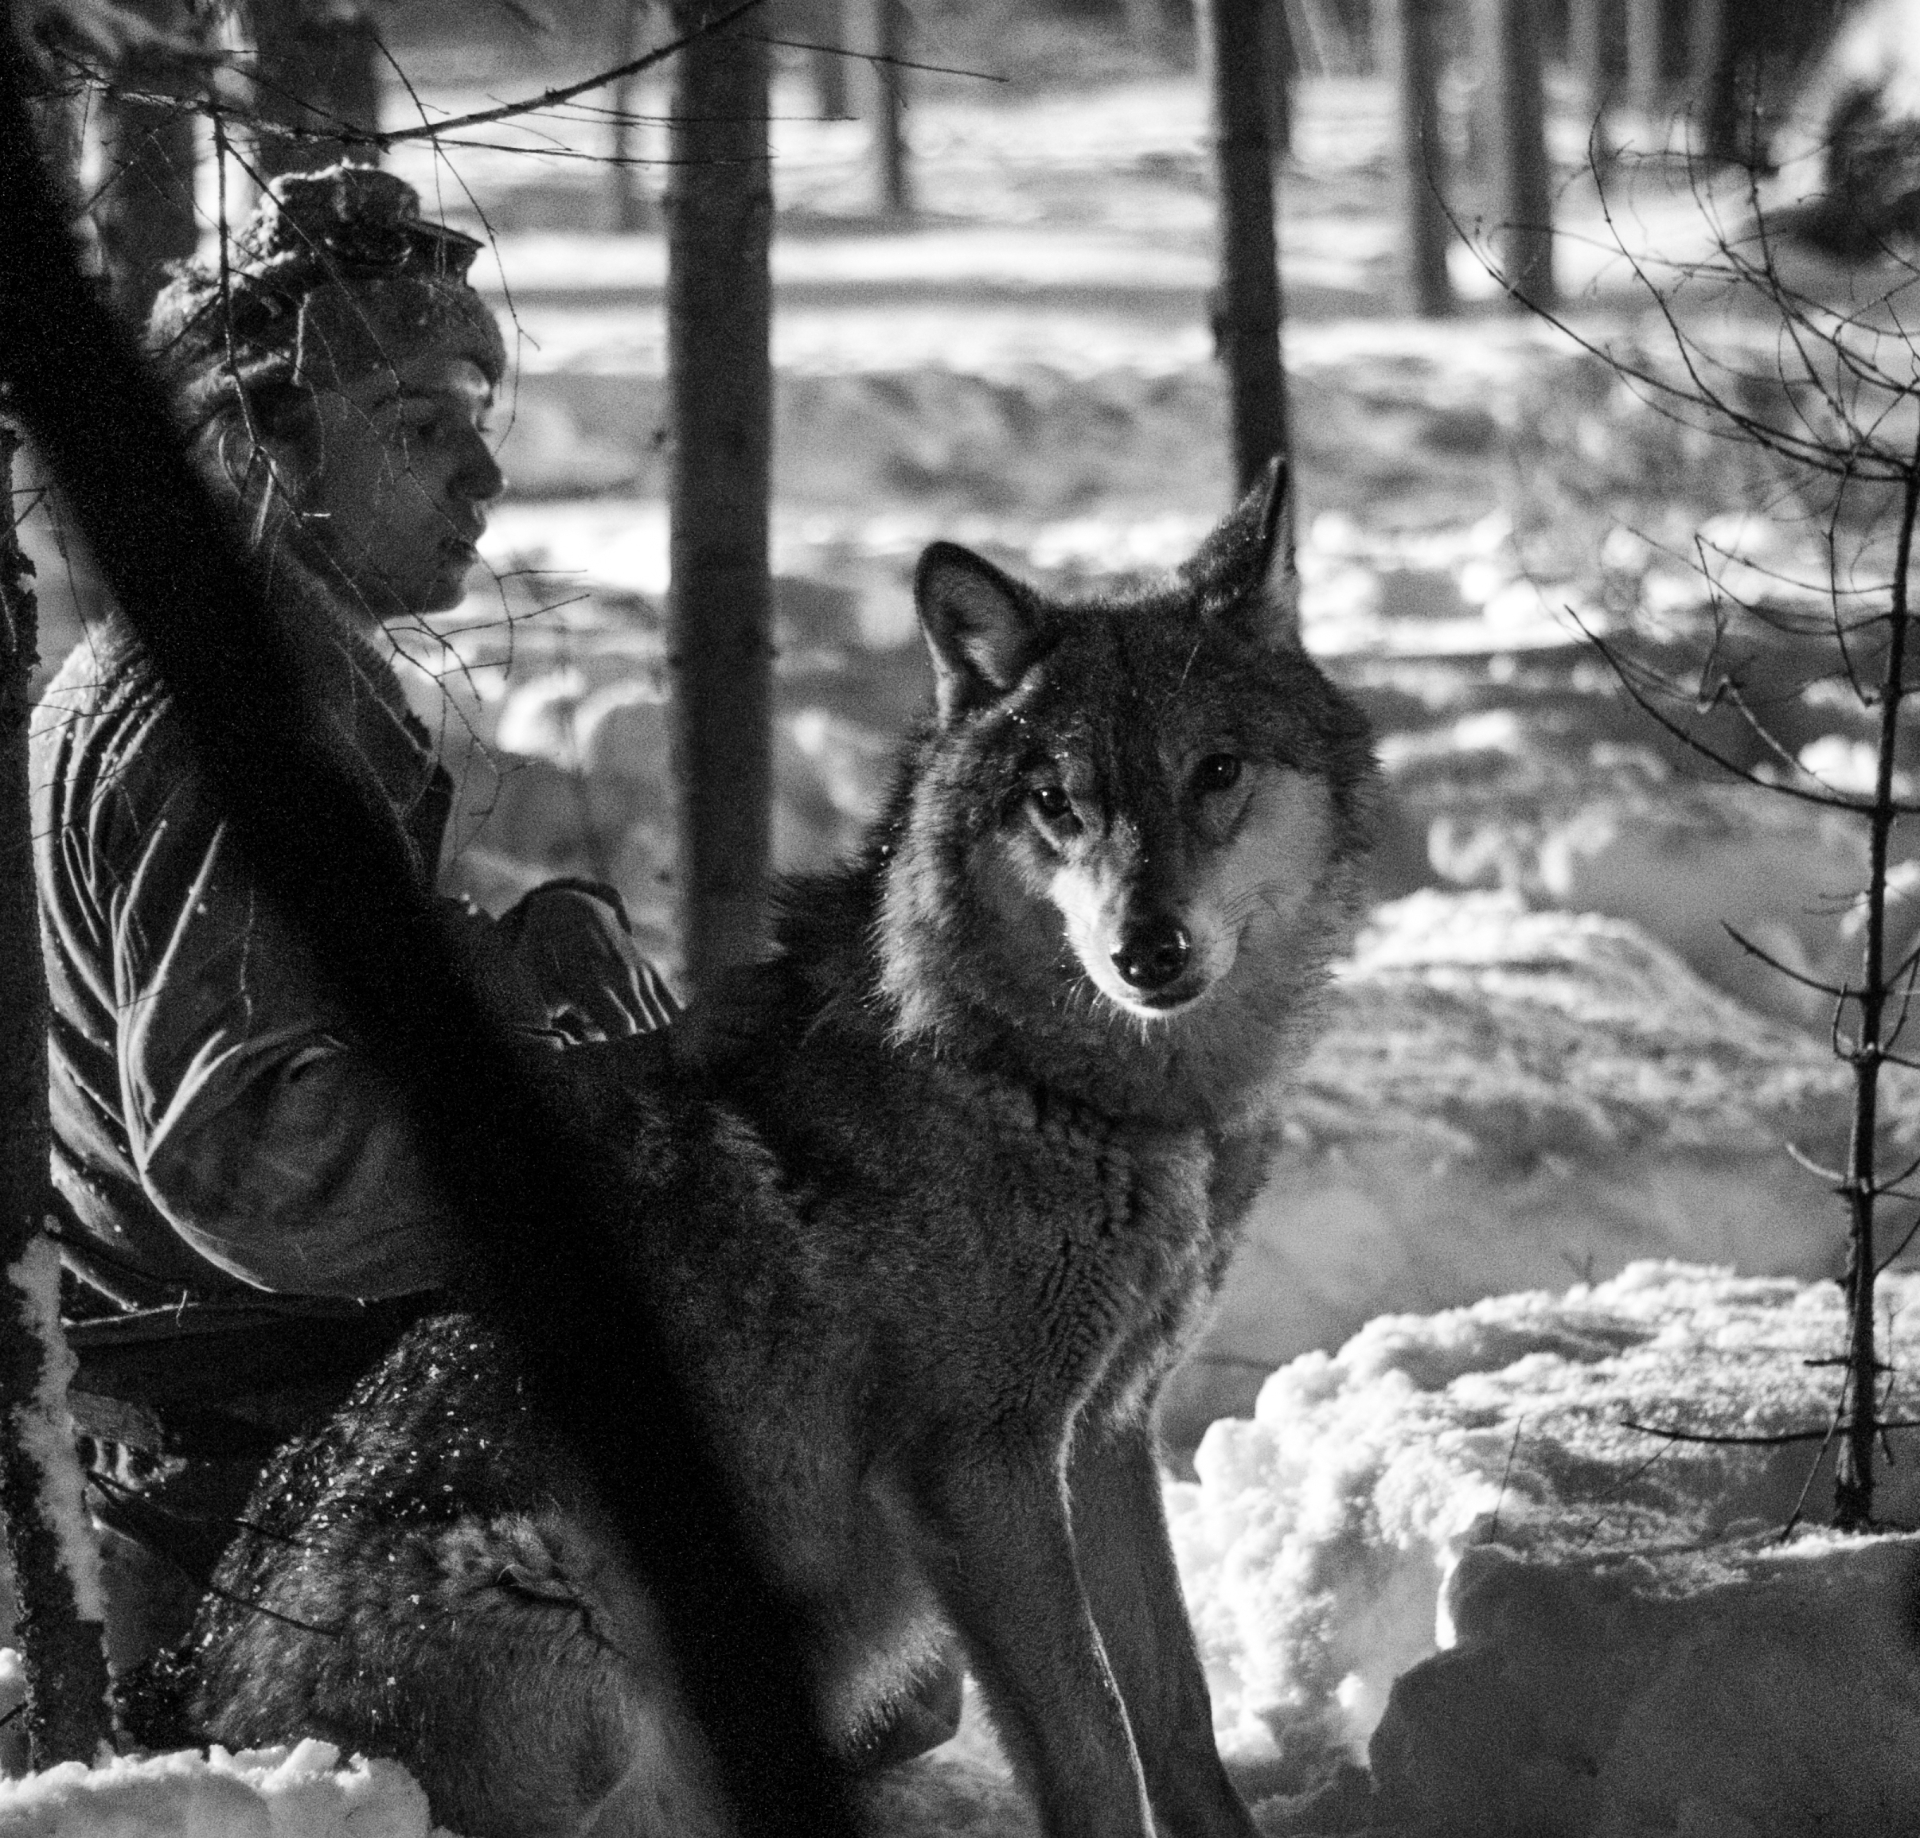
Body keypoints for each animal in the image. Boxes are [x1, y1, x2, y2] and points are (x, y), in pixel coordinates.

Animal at [173, 461, 1378, 1838]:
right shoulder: (980, 1469)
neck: (1069, 1094)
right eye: (1057, 803)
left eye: (1215, 771)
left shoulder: (1111, 1433)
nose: (1147, 949)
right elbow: (1095, 1745)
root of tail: (196, 1719)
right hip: (559, 1618)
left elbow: (1178, 1717)